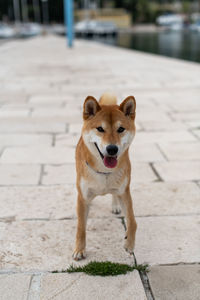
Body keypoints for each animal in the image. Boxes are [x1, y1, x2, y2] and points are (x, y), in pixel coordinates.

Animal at [72, 93, 137, 260]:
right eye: (100, 129)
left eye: (121, 129)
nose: (112, 149)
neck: (104, 172)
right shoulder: (83, 196)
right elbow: (81, 227)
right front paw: (79, 250)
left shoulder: (125, 192)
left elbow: (132, 222)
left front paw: (129, 244)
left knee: (114, 195)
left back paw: (115, 206)